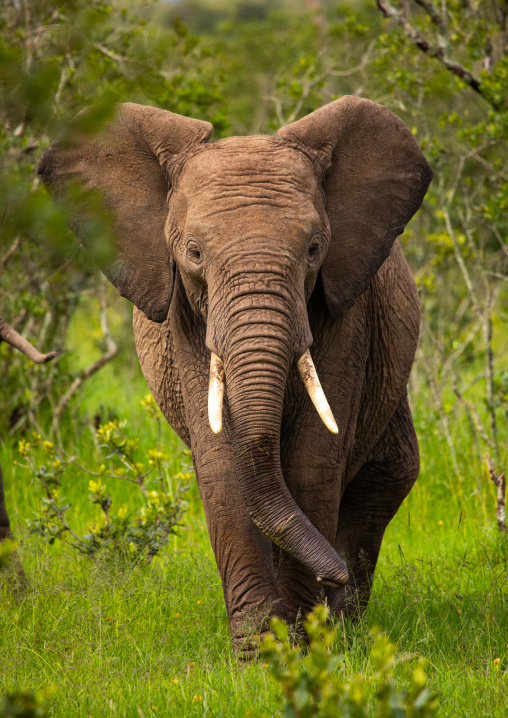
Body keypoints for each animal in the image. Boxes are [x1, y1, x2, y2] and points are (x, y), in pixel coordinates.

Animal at [37, 96, 432, 656]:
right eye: (194, 253)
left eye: (314, 250)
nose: (331, 576)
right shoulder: (185, 318)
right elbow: (223, 468)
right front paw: (259, 655)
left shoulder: (346, 311)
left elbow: (313, 462)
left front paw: (302, 647)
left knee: (384, 477)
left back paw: (346, 630)